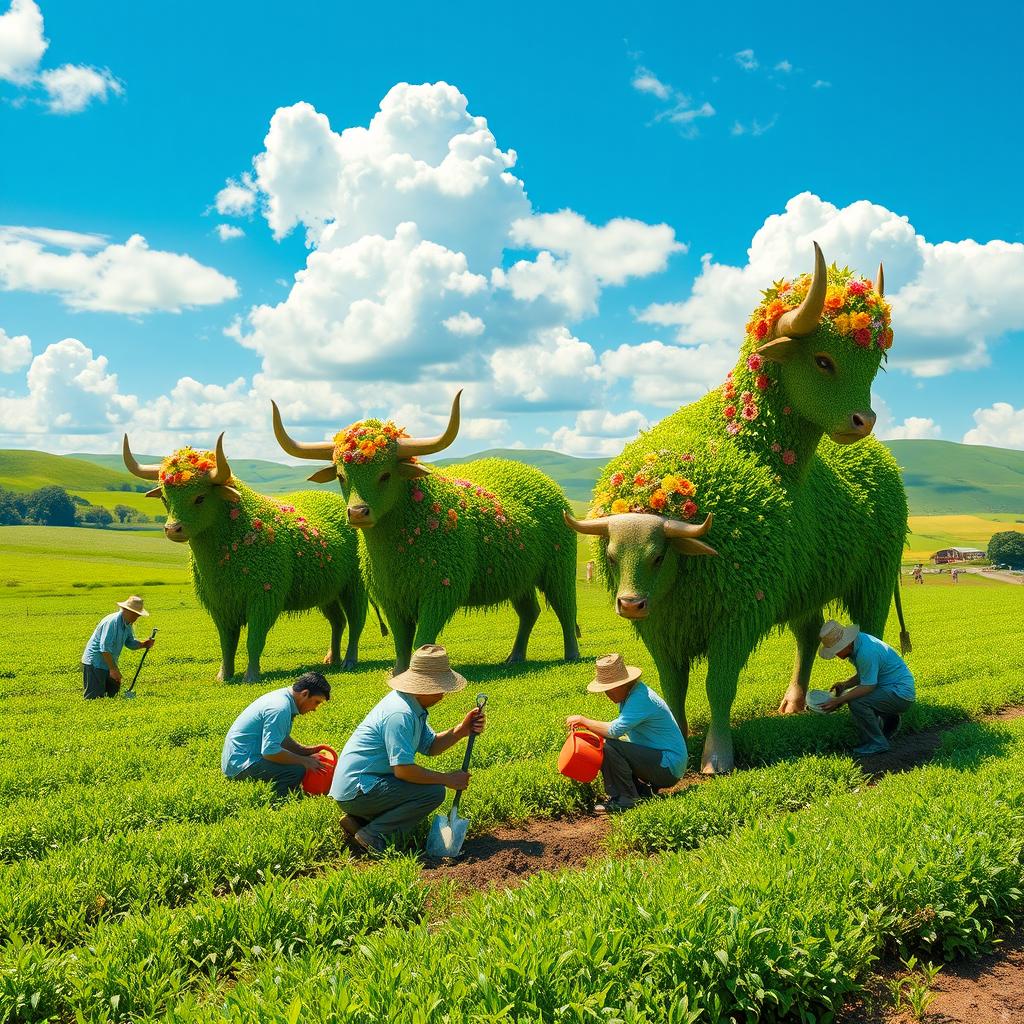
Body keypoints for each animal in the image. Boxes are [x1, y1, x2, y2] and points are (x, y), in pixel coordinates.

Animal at [123, 432, 372, 679]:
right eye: (165, 498)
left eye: (200, 497)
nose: (173, 529)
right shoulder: (220, 606)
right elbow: (227, 643)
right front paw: (224, 676)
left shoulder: (264, 599)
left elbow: (254, 639)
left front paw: (251, 675)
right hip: (327, 592)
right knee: (338, 621)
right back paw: (332, 659)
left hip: (354, 586)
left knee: (356, 620)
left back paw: (349, 661)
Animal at [268, 395, 581, 675]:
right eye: (341, 476)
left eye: (385, 474)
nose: (357, 513)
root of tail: (548, 485)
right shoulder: (391, 597)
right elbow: (401, 639)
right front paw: (399, 672)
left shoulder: (440, 591)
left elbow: (422, 637)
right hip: (519, 578)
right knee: (530, 612)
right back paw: (514, 657)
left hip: (559, 568)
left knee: (565, 608)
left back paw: (572, 654)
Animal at [569, 245, 913, 774]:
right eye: (822, 359)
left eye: (873, 365)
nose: (863, 420)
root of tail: (886, 465)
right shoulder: (664, 631)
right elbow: (673, 686)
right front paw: (680, 741)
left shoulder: (735, 620)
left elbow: (718, 687)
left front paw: (717, 757)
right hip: (809, 591)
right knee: (809, 635)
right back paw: (793, 703)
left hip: (873, 580)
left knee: (870, 637)